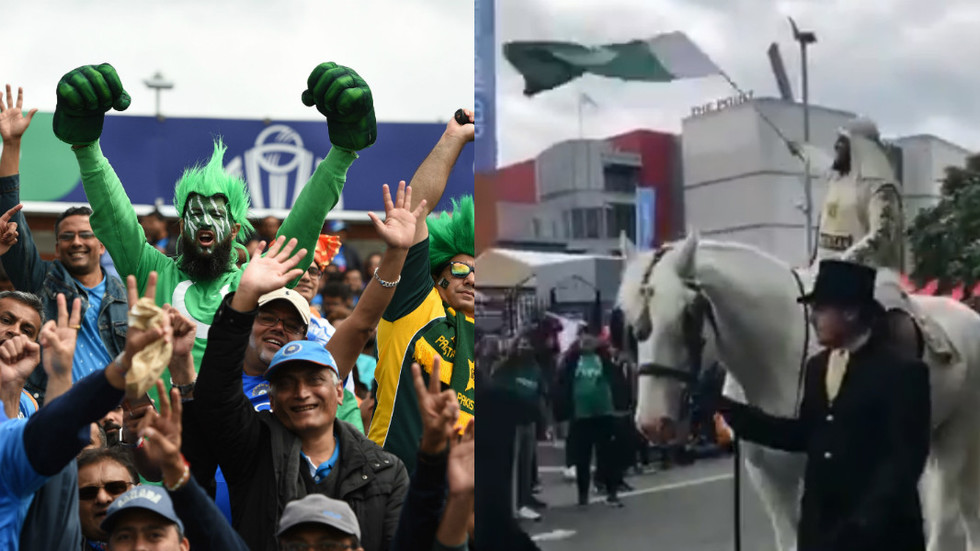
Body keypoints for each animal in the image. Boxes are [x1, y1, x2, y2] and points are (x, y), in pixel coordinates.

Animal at [620, 233, 980, 551]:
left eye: (687, 314)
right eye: (631, 321)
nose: (652, 423)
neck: (777, 355)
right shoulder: (767, 477)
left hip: (958, 437)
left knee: (953, 513)